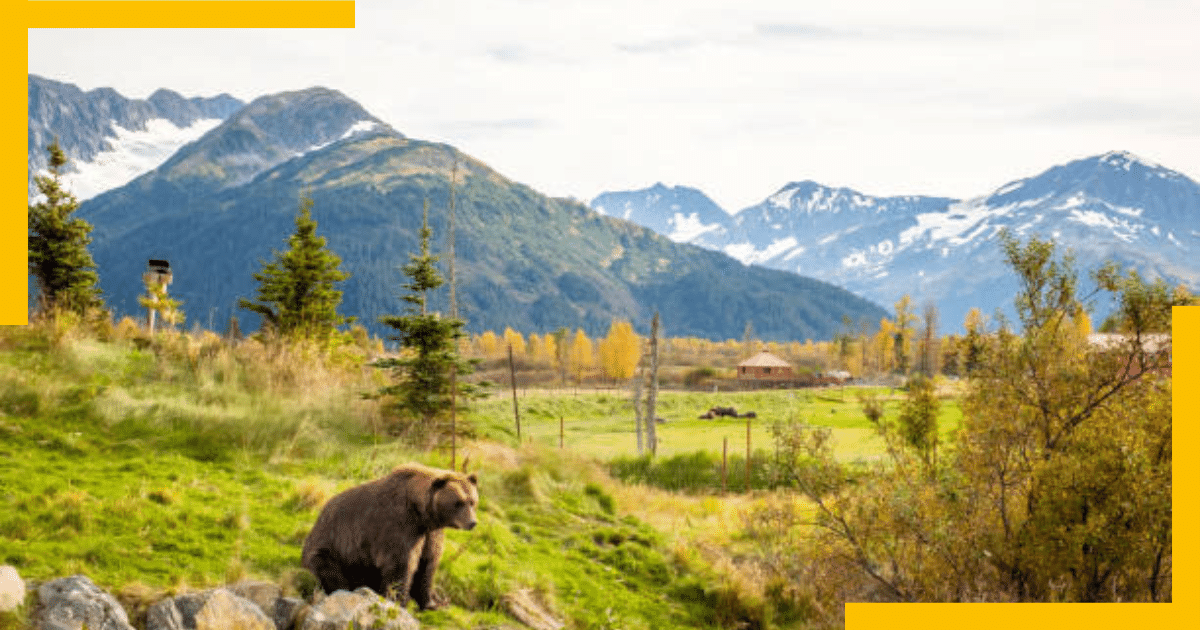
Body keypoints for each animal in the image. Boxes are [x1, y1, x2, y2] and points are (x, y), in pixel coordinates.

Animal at [300, 460, 477, 609]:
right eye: (458, 502)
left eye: (472, 501)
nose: (472, 522)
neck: (420, 514)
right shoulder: (398, 527)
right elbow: (401, 564)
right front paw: (399, 600)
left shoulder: (430, 533)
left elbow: (428, 563)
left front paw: (431, 603)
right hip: (334, 550)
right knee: (327, 569)